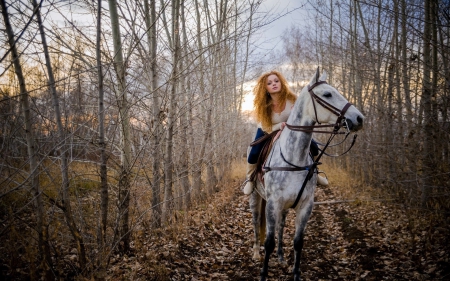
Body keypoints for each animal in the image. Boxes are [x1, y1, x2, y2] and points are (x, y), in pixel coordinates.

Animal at [250, 68, 366, 280]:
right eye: (327, 94)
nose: (359, 119)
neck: (293, 158)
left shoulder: (305, 205)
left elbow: (298, 242)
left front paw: (295, 273)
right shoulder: (272, 204)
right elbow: (268, 242)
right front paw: (263, 274)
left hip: (285, 207)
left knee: (280, 226)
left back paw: (281, 257)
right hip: (255, 198)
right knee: (256, 223)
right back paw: (255, 252)